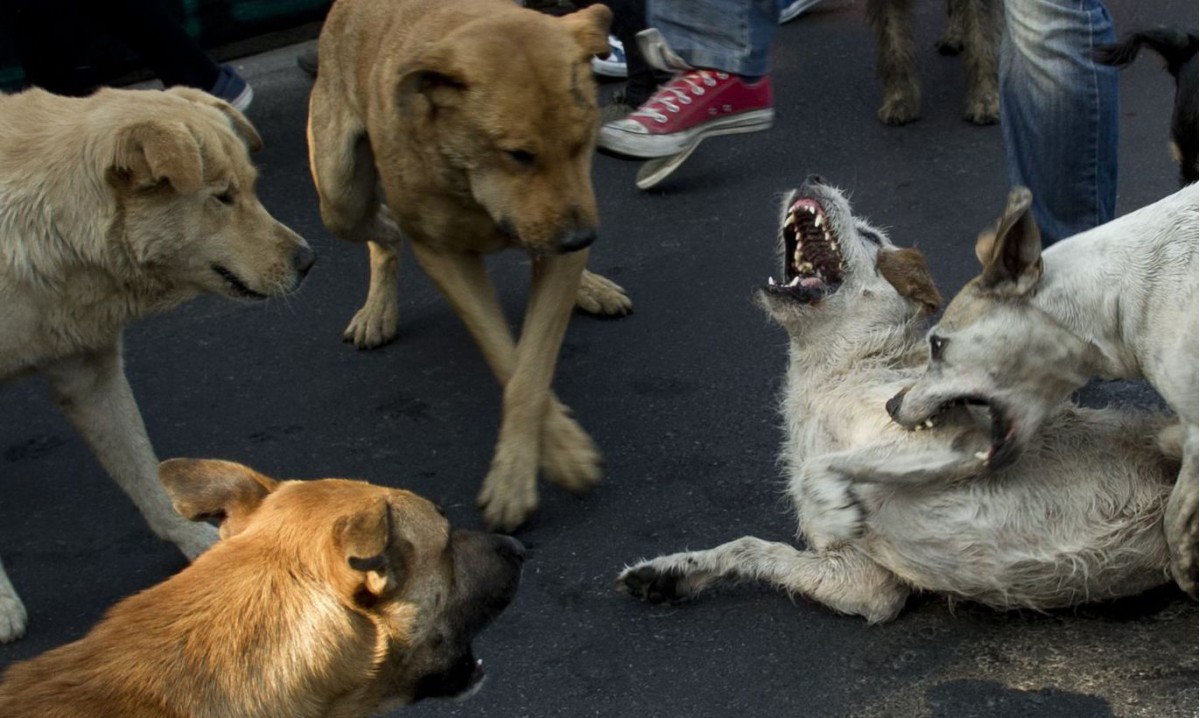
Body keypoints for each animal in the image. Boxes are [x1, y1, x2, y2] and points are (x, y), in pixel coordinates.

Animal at [0, 87, 314, 643]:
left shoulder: (92, 378)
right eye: (222, 197)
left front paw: (195, 540)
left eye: (252, 189)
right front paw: (1, 605)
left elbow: (147, 472)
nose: (309, 260)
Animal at [304, 0, 633, 530]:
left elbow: (530, 367)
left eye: (581, 144)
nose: (581, 239)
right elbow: (506, 357)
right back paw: (378, 309)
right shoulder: (444, 254)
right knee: (384, 229)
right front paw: (548, 456)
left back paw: (591, 286)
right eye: (518, 155)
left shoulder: (567, 218)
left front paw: (544, 460)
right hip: (340, 196)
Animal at [619, 177, 1171, 619]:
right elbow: (753, 546)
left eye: (870, 238)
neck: (833, 375)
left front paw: (831, 497)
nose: (812, 177)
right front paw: (671, 571)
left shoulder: (963, 430)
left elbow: (819, 471)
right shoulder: (861, 581)